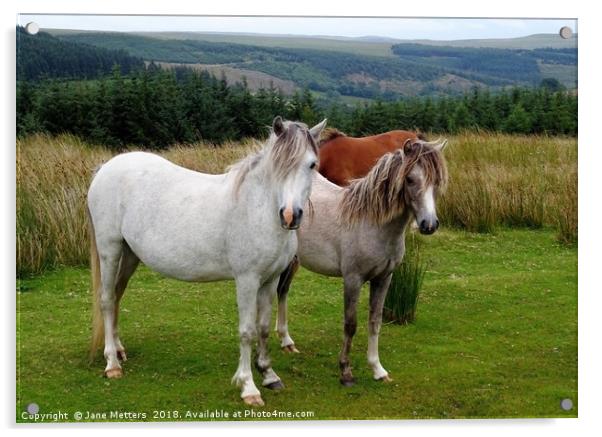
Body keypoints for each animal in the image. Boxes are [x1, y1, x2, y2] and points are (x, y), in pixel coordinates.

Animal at [86, 116, 326, 406]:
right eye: (278, 165)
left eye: (312, 164)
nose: (290, 216)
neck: (256, 209)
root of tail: (106, 168)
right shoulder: (247, 280)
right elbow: (247, 331)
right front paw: (248, 387)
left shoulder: (270, 280)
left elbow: (263, 328)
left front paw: (269, 375)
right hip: (110, 250)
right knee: (107, 300)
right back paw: (112, 363)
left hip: (130, 254)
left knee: (117, 296)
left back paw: (119, 350)